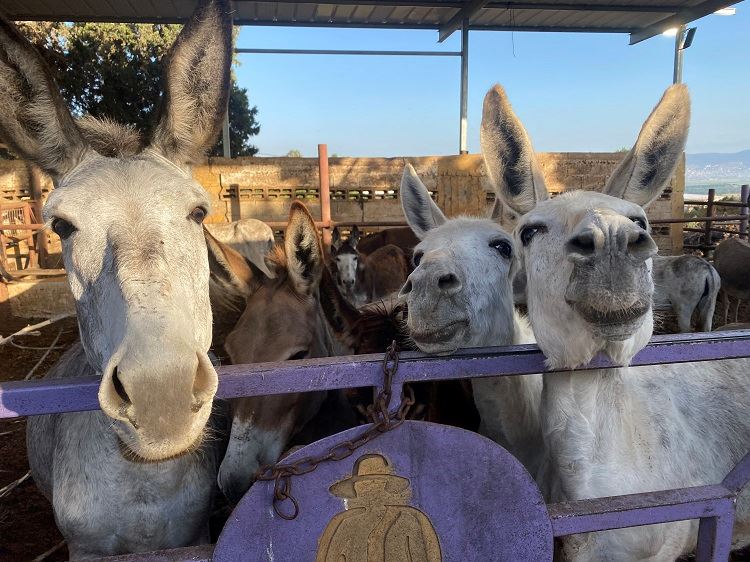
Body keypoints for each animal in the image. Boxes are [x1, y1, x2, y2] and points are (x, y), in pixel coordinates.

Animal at [1, 1, 234, 556]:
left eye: (198, 213)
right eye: (62, 226)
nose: (160, 394)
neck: (143, 487)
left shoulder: (195, 533)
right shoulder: (84, 549)